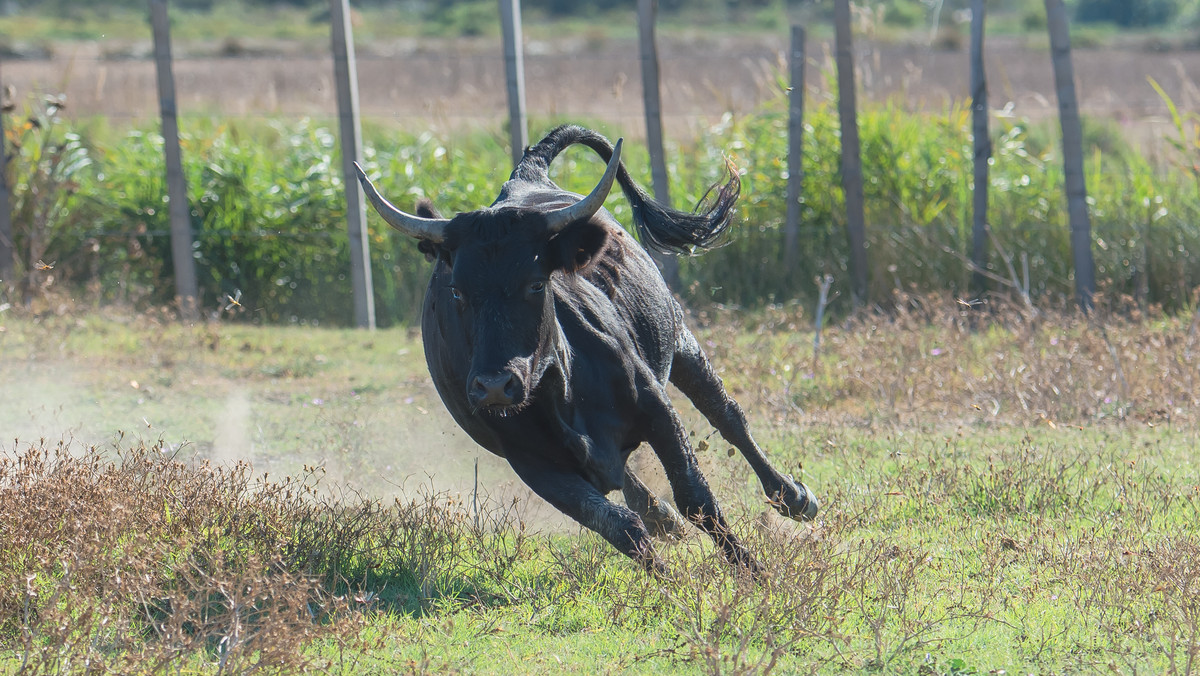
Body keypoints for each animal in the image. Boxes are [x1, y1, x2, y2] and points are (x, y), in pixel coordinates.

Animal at [352, 124, 816, 573]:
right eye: (457, 292)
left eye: (536, 283)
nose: (495, 386)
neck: (562, 389)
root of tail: (526, 176)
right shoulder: (533, 464)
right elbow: (619, 526)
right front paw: (673, 584)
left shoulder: (657, 409)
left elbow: (697, 497)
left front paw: (754, 574)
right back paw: (663, 517)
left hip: (678, 334)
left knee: (726, 414)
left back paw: (792, 497)